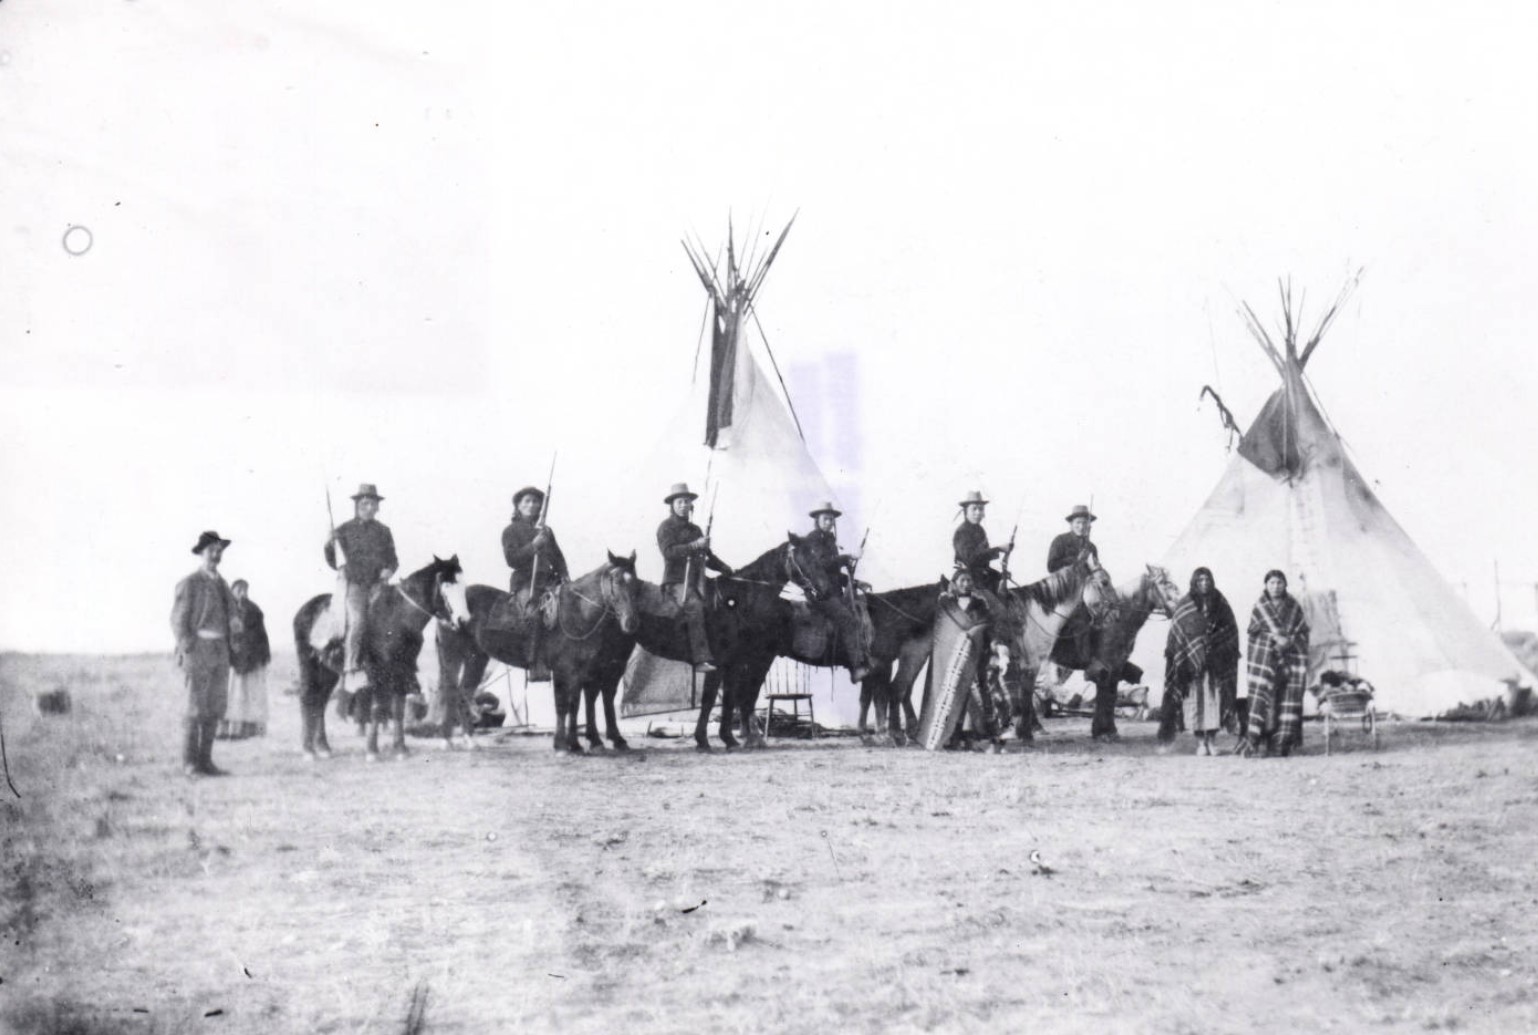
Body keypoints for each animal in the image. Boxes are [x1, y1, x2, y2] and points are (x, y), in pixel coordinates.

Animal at [292, 556, 470, 759]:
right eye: (446, 585)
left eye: (463, 585)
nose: (463, 620)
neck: (398, 615)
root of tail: (306, 608)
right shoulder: (378, 671)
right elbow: (377, 709)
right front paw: (372, 751)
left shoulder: (403, 669)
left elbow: (398, 708)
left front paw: (400, 749)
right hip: (308, 662)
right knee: (307, 697)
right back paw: (308, 750)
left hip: (329, 670)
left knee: (320, 700)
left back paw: (323, 747)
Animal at [433, 547, 642, 750]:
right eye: (616, 582)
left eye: (636, 583)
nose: (631, 622)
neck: (577, 612)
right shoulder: (563, 670)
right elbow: (562, 705)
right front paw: (561, 744)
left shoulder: (580, 671)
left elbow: (574, 704)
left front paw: (575, 743)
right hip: (452, 656)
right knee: (451, 692)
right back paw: (447, 740)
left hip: (476, 658)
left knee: (463, 692)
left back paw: (470, 740)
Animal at [1051, 559, 1181, 738]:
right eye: (1163, 583)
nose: (1179, 607)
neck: (1118, 619)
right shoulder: (1105, 665)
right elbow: (1105, 694)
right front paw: (1103, 732)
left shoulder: (1117, 665)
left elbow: (1111, 695)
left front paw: (1108, 730)